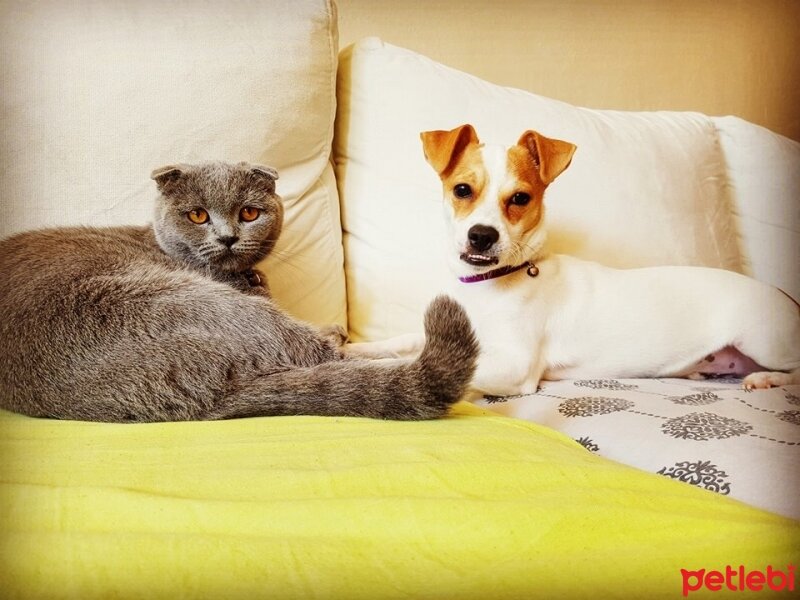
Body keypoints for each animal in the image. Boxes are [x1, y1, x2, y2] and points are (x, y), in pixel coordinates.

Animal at [0, 159, 476, 422]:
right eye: (197, 215)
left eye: (249, 213)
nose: (228, 237)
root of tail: (210, 399)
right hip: (197, 301)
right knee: (325, 355)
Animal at [350, 123, 800, 396]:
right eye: (463, 189)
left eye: (520, 198)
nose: (482, 235)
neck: (490, 287)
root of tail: (784, 295)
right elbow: (406, 340)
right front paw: (360, 348)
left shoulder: (515, 363)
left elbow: (415, 359)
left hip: (761, 337)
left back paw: (766, 378)